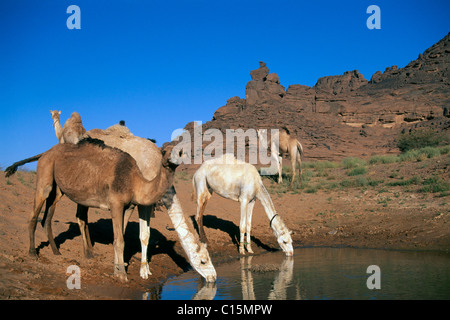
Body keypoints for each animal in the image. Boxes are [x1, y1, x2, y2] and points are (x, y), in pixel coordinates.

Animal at [29, 138, 181, 282]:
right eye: (163, 151)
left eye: (180, 151)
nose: (172, 159)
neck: (135, 181)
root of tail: (45, 153)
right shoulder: (116, 204)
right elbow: (120, 241)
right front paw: (122, 276)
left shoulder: (128, 207)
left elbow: (119, 237)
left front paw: (116, 271)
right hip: (44, 174)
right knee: (34, 214)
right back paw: (32, 253)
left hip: (58, 189)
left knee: (48, 216)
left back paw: (56, 251)